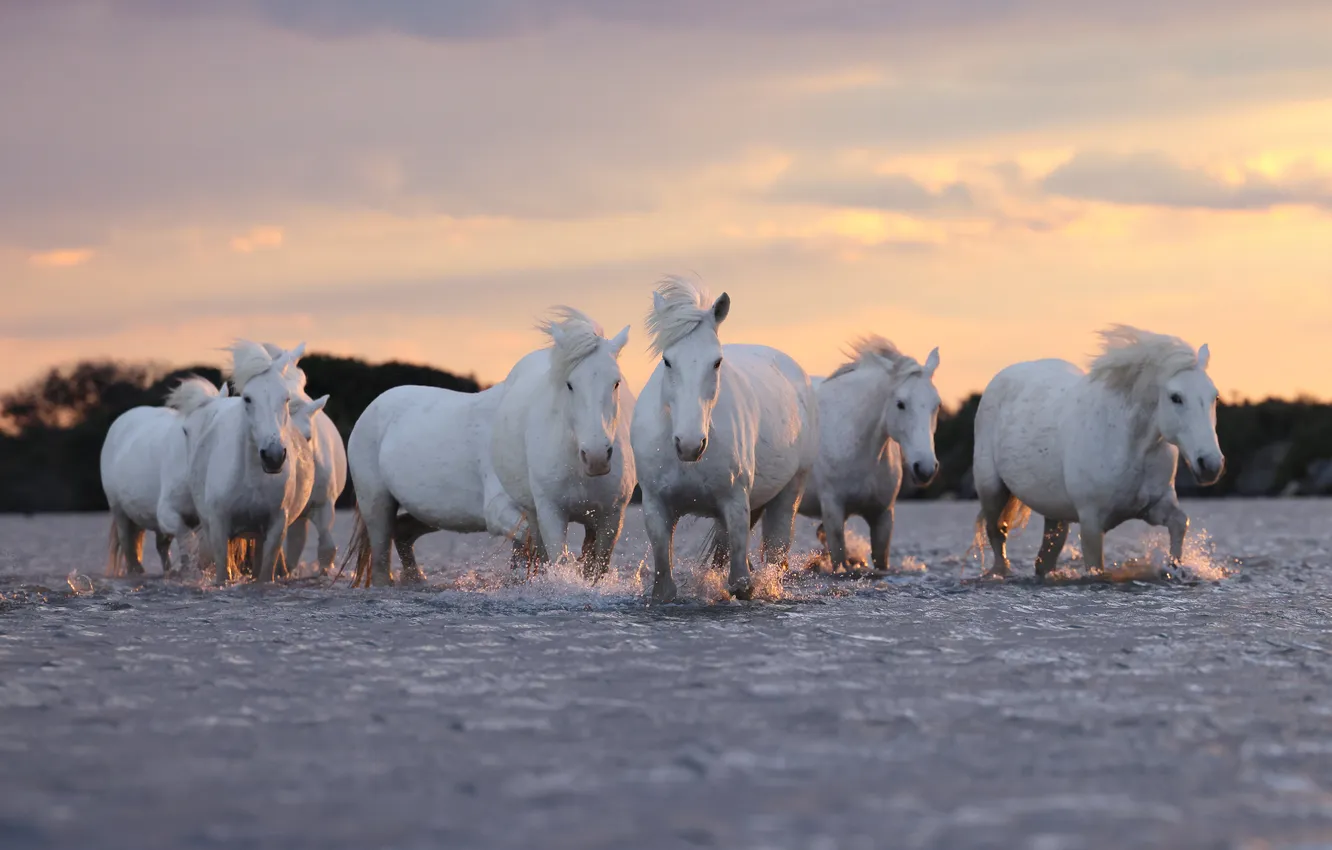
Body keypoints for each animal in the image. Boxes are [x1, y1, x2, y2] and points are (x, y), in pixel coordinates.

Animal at [184, 341, 326, 585]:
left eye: (286, 398)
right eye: (248, 398)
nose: (273, 456)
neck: (250, 478)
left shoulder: (276, 526)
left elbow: (266, 572)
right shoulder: (219, 525)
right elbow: (223, 572)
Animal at [490, 307, 636, 580]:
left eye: (616, 383)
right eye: (570, 384)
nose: (597, 456)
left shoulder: (612, 516)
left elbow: (597, 569)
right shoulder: (551, 513)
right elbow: (557, 560)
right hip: (533, 512)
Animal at [631, 276, 818, 603]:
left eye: (717, 362)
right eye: (667, 361)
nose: (690, 444)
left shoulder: (735, 504)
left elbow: (741, 584)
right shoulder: (656, 507)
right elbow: (665, 586)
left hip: (789, 494)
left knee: (775, 553)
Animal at [798, 337, 942, 572]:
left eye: (937, 405)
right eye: (900, 404)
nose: (925, 468)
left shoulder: (883, 517)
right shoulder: (833, 511)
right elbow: (839, 558)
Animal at [972, 325, 1224, 578]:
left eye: (1214, 396)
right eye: (1176, 397)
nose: (1211, 465)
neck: (1131, 449)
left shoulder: (1154, 507)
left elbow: (1180, 522)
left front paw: (1174, 567)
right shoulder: (1091, 524)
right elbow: (1096, 567)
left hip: (1055, 513)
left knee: (1045, 559)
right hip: (992, 490)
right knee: (997, 533)